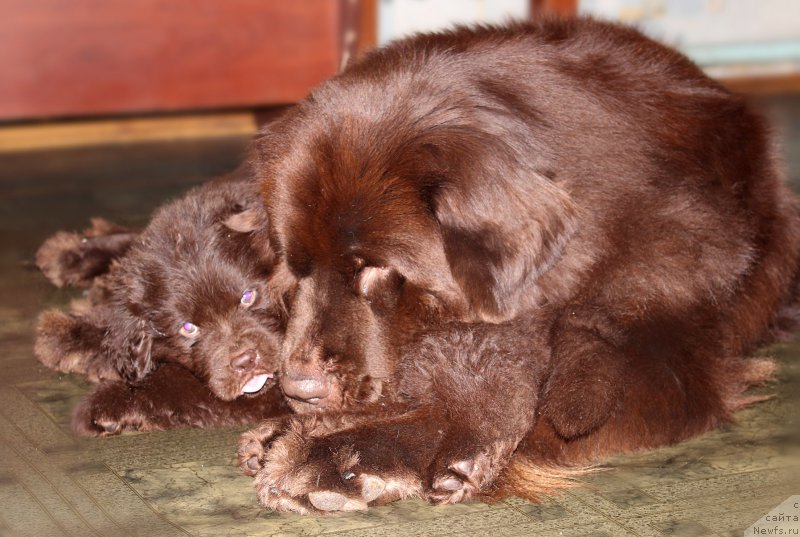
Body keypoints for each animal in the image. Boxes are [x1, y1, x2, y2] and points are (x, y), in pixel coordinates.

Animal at [36, 172, 290, 436]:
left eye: (248, 297)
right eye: (188, 328)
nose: (246, 361)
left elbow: (175, 383)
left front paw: (102, 402)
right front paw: (70, 331)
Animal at [238, 16, 800, 510]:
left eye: (375, 268)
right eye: (295, 267)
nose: (299, 391)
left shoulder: (668, 355)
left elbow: (536, 413)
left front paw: (340, 454)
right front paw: (288, 431)